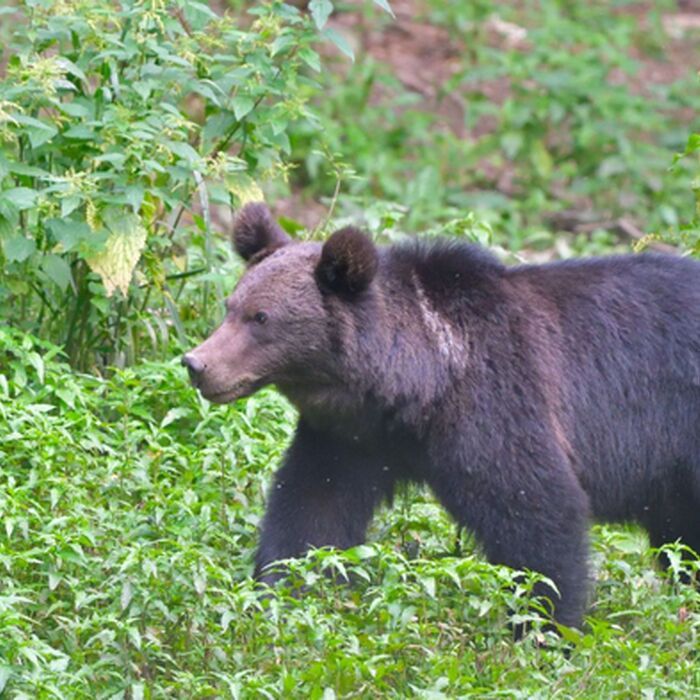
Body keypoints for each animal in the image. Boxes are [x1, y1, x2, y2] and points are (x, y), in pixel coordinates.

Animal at [182, 202, 700, 629]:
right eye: (230, 306)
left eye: (261, 318)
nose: (197, 364)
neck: (419, 386)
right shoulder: (351, 438)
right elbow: (312, 510)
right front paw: (282, 593)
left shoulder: (498, 403)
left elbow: (538, 515)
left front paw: (545, 628)